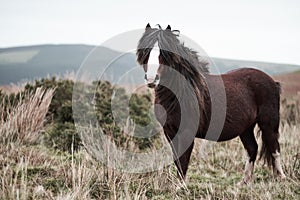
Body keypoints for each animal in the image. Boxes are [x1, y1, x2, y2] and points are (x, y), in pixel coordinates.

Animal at [136, 23, 286, 184]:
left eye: (164, 54)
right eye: (145, 52)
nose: (151, 79)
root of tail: (272, 82)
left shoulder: (186, 132)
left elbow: (183, 161)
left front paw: (181, 186)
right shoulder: (170, 132)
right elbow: (177, 160)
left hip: (268, 123)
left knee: (274, 149)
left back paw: (281, 177)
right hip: (246, 128)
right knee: (252, 149)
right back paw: (244, 182)